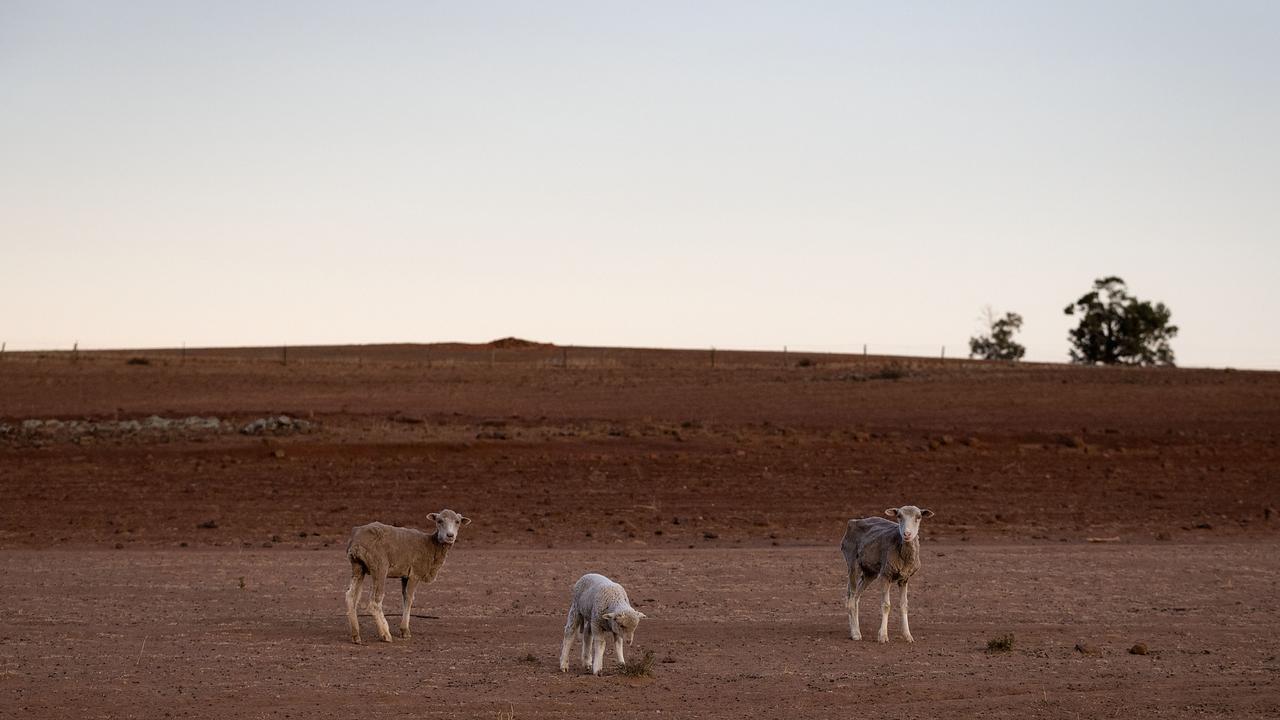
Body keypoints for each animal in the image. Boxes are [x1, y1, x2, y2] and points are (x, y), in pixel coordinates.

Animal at [345, 507, 471, 640]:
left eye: (458, 522)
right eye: (439, 521)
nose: (450, 535)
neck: (431, 546)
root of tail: (356, 541)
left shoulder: (405, 575)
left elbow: (405, 597)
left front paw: (403, 629)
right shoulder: (414, 573)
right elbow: (410, 598)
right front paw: (405, 630)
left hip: (357, 566)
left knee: (350, 596)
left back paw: (356, 635)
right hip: (379, 567)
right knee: (375, 601)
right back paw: (385, 634)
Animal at [844, 502, 936, 640]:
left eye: (919, 517)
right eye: (899, 516)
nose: (907, 534)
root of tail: (853, 522)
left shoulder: (904, 578)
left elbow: (904, 605)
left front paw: (908, 635)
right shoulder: (885, 574)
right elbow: (886, 605)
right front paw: (882, 636)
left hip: (870, 571)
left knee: (855, 598)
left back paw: (856, 630)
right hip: (852, 562)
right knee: (851, 597)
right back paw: (855, 633)